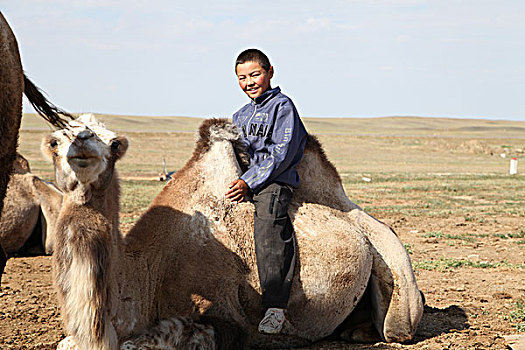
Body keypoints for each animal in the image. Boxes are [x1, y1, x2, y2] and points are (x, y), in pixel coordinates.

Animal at [47, 113, 424, 348]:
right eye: (56, 140)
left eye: (112, 142)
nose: (78, 145)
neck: (146, 270)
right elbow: (67, 343)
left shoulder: (223, 314)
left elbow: (136, 345)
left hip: (395, 275)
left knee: (397, 326)